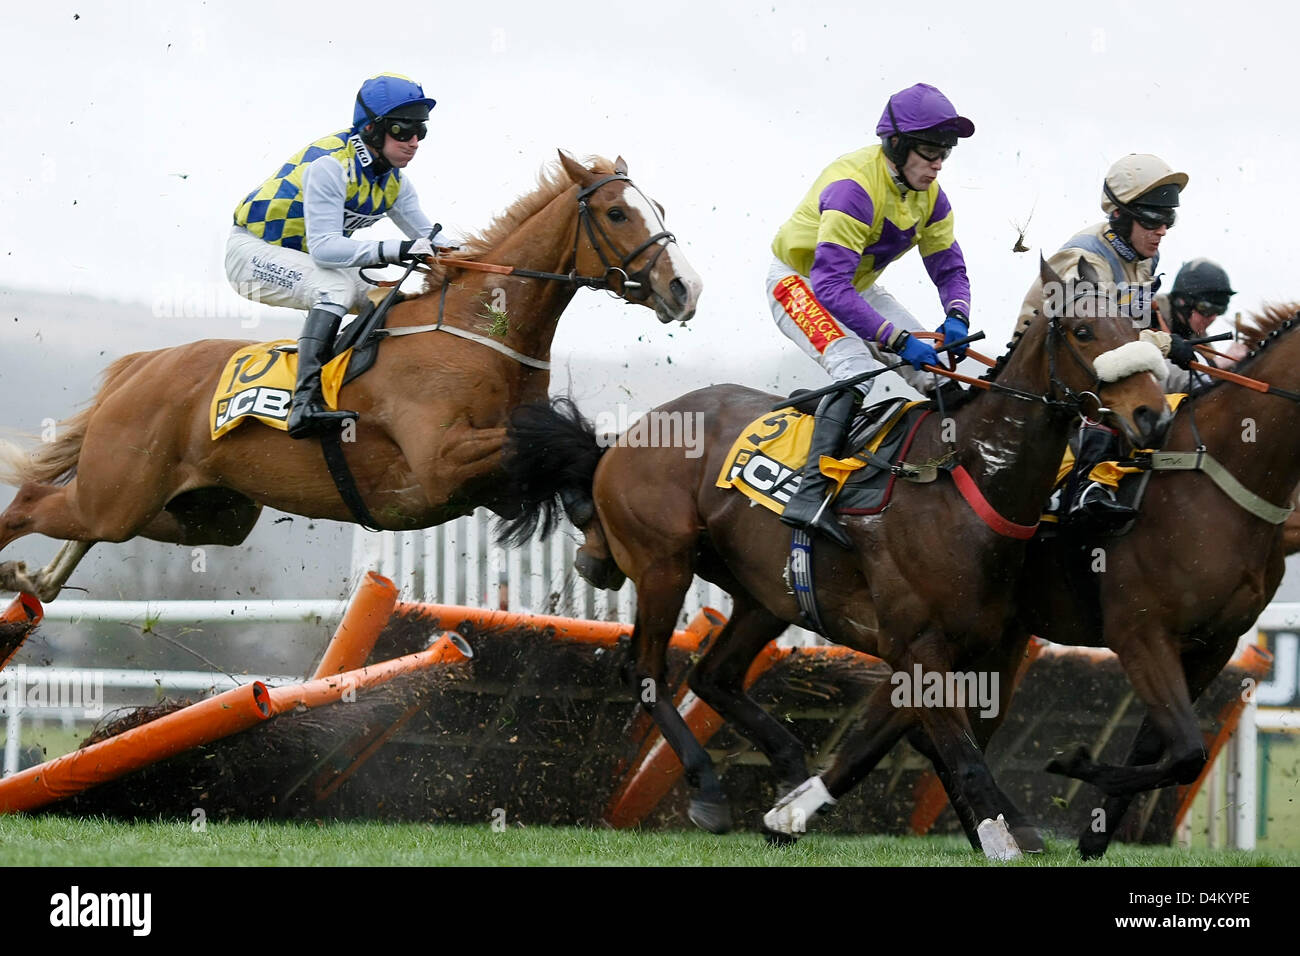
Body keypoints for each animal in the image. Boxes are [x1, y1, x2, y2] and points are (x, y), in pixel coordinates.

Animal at [0, 155, 702, 606]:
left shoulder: (495, 479)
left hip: (203, 513)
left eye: (660, 207)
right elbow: (565, 445)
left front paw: (600, 550)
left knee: (89, 528)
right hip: (121, 491)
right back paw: (19, 576)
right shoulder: (440, 463)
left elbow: (574, 456)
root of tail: (142, 366)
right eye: (617, 212)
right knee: (31, 504)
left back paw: (39, 583)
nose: (685, 289)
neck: (480, 335)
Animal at [499, 256, 1170, 858]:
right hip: (665, 564)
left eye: (1138, 326)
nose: (1152, 415)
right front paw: (1000, 837)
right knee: (643, 669)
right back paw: (709, 788)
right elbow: (962, 756)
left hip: (767, 594)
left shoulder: (957, 647)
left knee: (713, 675)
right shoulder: (917, 645)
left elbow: (885, 743)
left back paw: (790, 767)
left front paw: (794, 813)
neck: (966, 480)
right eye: (1082, 331)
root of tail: (622, 439)